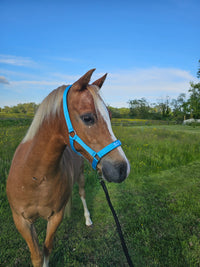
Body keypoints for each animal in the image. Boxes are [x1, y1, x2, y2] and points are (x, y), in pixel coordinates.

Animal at [6, 69, 130, 267]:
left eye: (110, 116)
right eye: (87, 118)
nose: (122, 169)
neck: (35, 177)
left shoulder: (55, 216)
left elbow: (47, 249)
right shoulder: (21, 221)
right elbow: (37, 255)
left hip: (81, 177)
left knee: (82, 195)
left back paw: (87, 219)